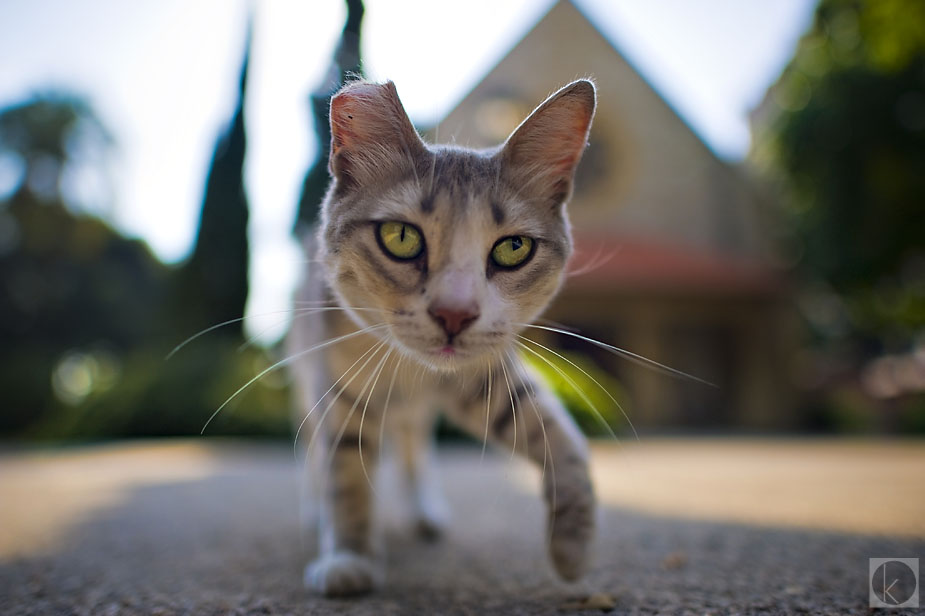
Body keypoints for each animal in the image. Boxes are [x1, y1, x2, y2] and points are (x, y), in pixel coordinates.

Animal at [288, 77, 600, 596]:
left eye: (514, 247)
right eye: (401, 237)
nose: (455, 313)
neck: (414, 372)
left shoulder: (491, 380)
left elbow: (563, 440)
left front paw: (573, 551)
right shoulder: (336, 387)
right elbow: (345, 474)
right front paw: (349, 557)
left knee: (414, 447)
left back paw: (424, 512)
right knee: (319, 454)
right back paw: (315, 511)